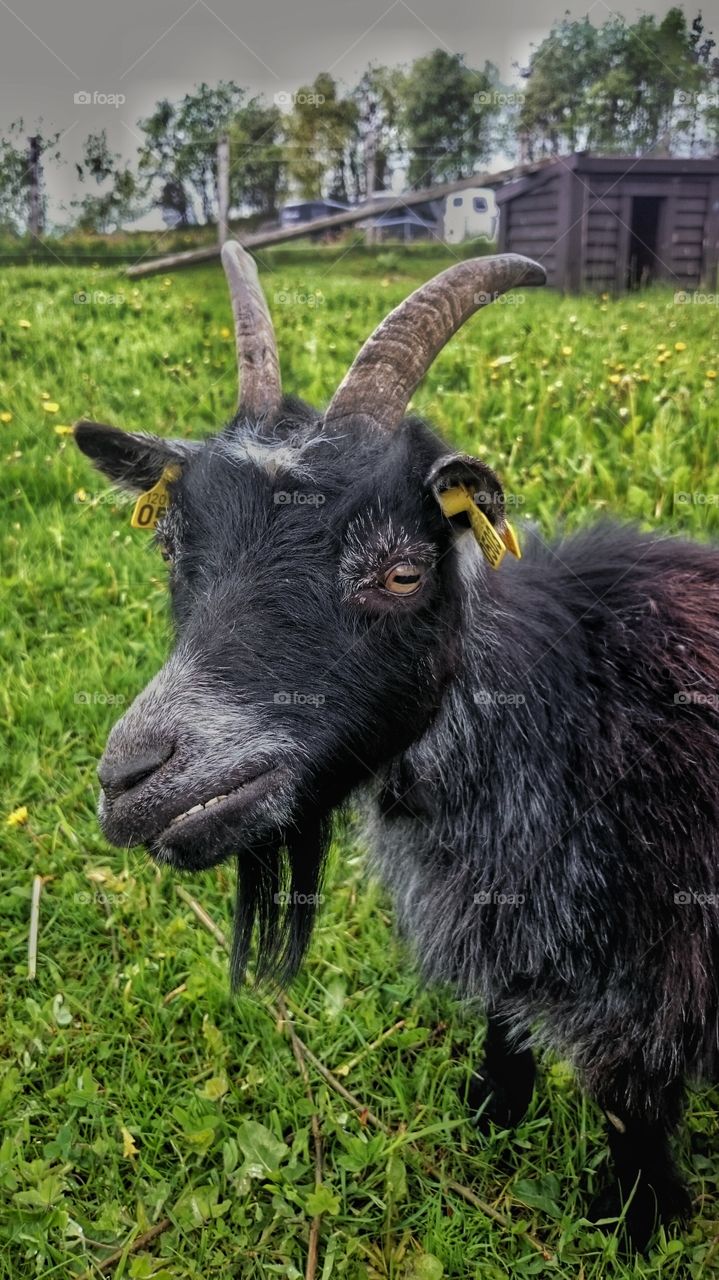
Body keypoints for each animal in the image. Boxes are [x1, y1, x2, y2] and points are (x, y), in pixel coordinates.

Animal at [74, 243, 719, 1251]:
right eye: (172, 550)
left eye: (402, 572)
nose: (135, 777)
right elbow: (505, 1023)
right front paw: (490, 1114)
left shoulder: (655, 989)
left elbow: (632, 1113)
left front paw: (634, 1227)